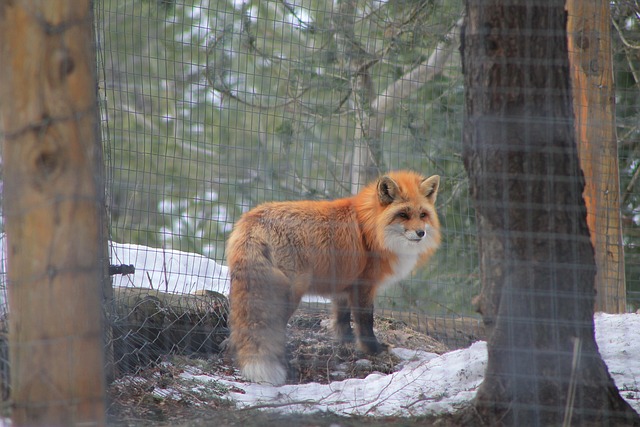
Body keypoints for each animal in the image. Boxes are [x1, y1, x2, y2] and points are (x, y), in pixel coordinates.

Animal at [226, 170, 441, 385]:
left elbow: (342, 318)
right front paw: (372, 349)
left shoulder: (344, 284)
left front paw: (346, 342)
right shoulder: (364, 285)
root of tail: (252, 220)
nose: (421, 233)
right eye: (403, 214)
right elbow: (365, 320)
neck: (368, 228)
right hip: (289, 292)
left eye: (422, 214)